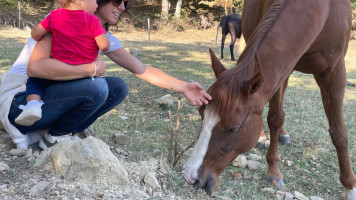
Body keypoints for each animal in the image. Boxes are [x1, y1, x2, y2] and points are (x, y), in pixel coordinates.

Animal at [182, 0, 354, 198]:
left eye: (233, 128)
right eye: (202, 115)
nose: (190, 176)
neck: (322, 10)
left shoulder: (335, 71)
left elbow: (339, 132)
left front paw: (351, 187)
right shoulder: (279, 70)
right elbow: (275, 117)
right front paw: (274, 172)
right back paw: (264, 137)